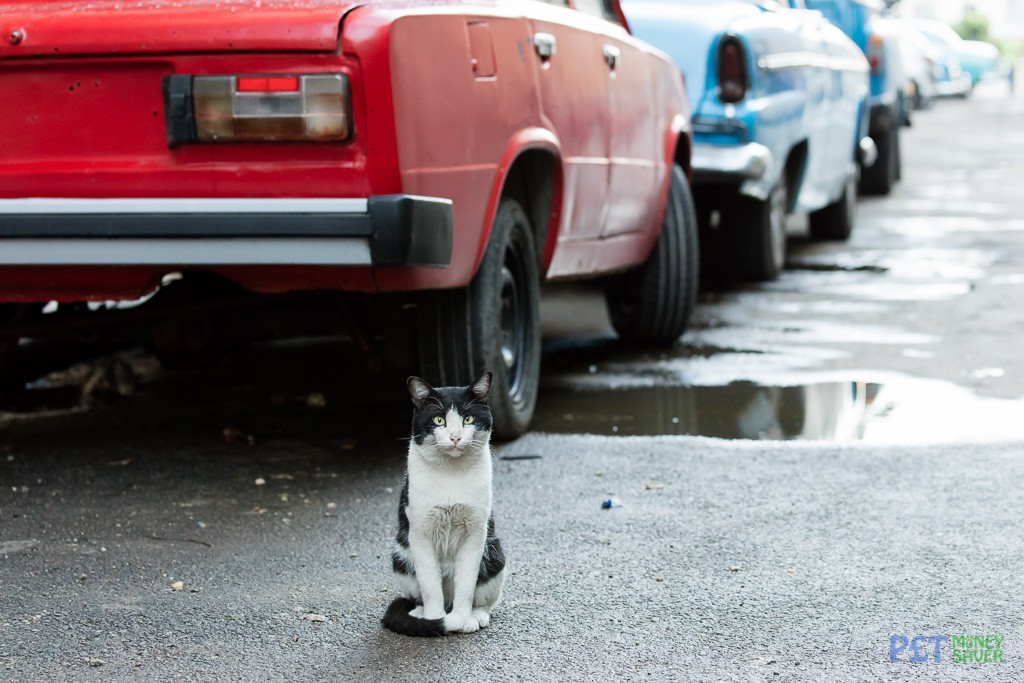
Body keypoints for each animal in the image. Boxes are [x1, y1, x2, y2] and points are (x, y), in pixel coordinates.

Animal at [382, 370, 505, 638]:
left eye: (468, 418)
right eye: (439, 420)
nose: (455, 437)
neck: (451, 473)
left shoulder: (475, 533)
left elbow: (467, 584)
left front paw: (462, 619)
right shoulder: (420, 534)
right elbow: (430, 586)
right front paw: (434, 620)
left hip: (495, 555)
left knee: (484, 601)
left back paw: (476, 616)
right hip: (400, 555)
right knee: (420, 593)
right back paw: (420, 613)